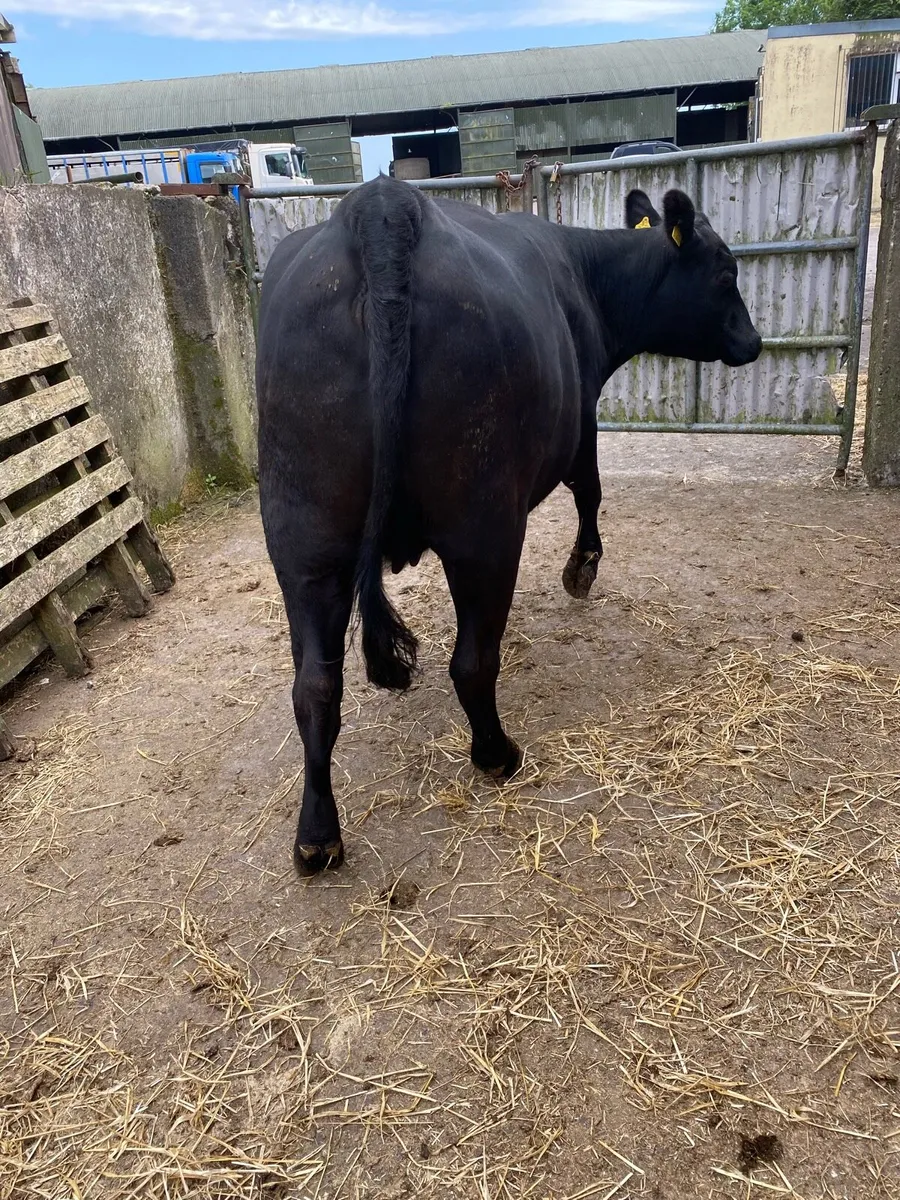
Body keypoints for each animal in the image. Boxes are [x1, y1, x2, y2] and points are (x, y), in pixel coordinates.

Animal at [256, 176, 761, 874]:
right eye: (725, 270)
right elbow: (591, 489)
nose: (754, 341)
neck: (584, 279)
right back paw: (497, 755)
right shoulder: (581, 419)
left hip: (302, 536)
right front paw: (582, 570)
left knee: (314, 686)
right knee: (472, 661)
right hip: (484, 520)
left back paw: (317, 835)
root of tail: (382, 205)